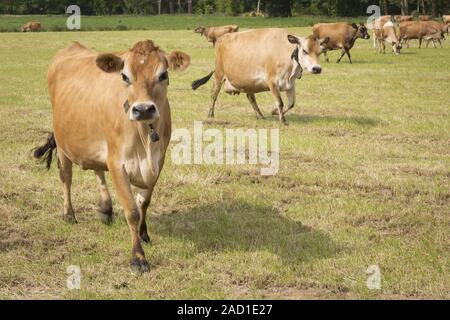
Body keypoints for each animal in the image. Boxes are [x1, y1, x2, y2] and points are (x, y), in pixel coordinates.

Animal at [33, 40, 191, 274]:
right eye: (124, 76)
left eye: (163, 75)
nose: (143, 109)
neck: (144, 135)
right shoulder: (118, 163)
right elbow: (132, 210)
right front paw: (137, 258)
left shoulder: (157, 162)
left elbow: (144, 202)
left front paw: (144, 234)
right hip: (63, 145)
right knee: (66, 178)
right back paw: (69, 214)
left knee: (98, 170)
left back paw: (105, 209)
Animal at [190, 28, 326, 124]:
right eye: (305, 51)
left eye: (320, 52)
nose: (317, 68)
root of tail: (222, 38)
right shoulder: (272, 81)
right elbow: (280, 102)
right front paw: (283, 120)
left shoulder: (290, 83)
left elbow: (291, 104)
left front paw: (275, 112)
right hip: (219, 74)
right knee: (214, 95)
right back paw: (210, 115)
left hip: (247, 82)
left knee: (251, 97)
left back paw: (260, 115)